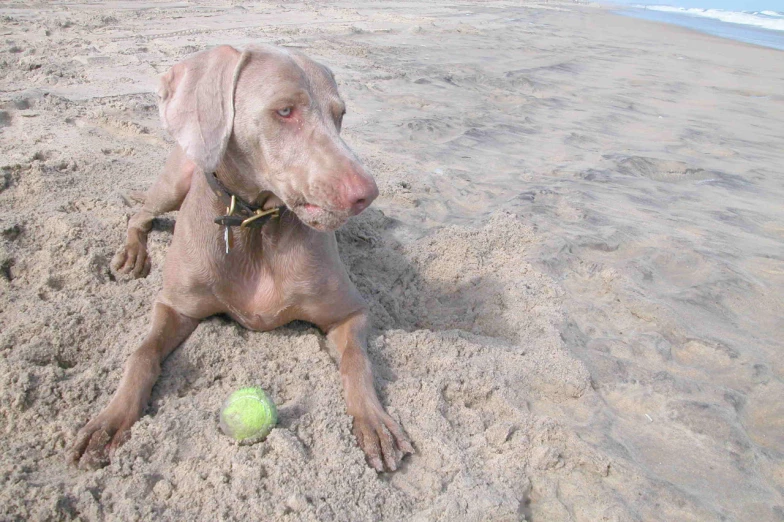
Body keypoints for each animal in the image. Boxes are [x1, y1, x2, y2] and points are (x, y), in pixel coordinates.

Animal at [70, 44, 414, 472]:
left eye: (340, 115)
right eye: (285, 111)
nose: (366, 194)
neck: (254, 225)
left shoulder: (349, 312)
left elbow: (356, 360)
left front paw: (374, 422)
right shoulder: (174, 304)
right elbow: (142, 352)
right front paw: (110, 421)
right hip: (175, 181)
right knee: (140, 215)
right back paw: (133, 254)